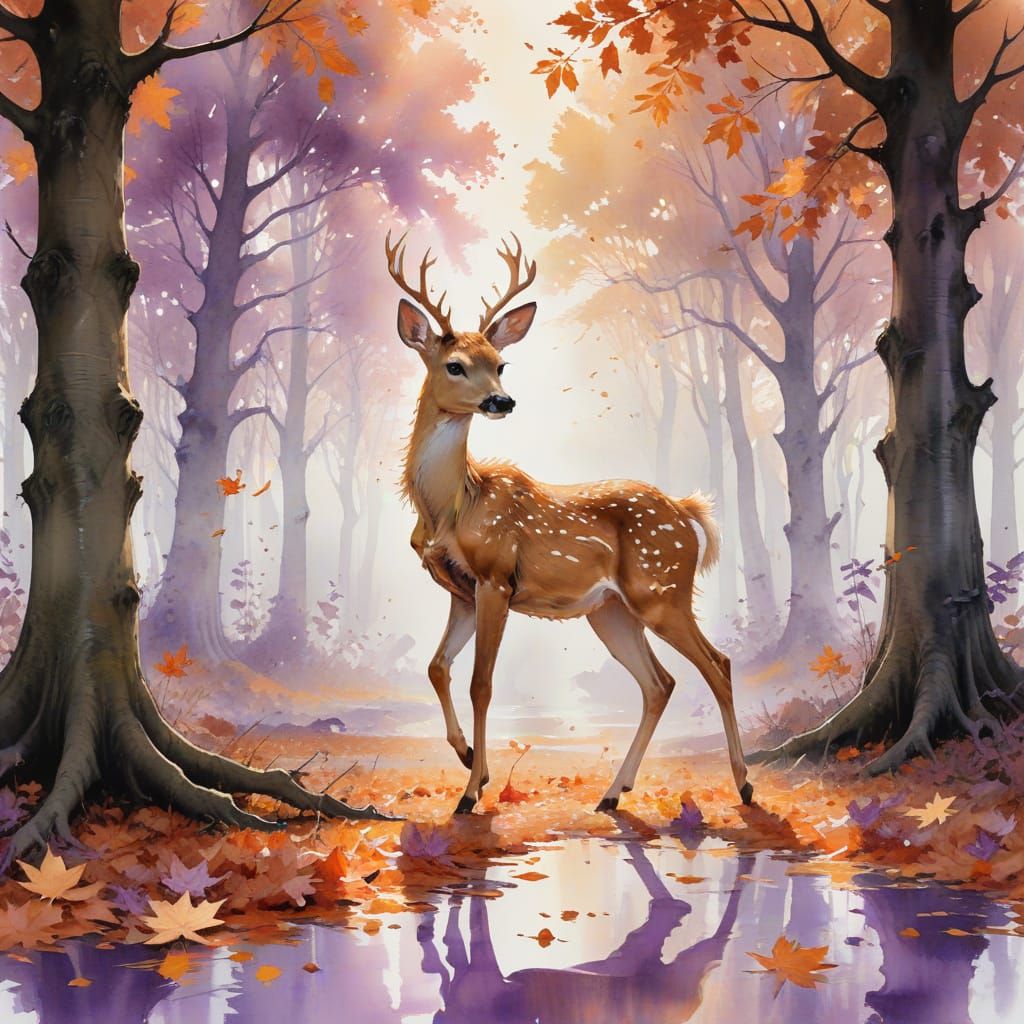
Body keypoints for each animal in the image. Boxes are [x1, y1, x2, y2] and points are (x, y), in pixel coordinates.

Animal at [386, 231, 752, 816]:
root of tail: (686, 512)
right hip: (611, 611)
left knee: (718, 664)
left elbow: (481, 683)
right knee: (661, 683)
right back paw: (612, 794)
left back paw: (743, 784)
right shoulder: (460, 590)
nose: (502, 401)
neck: (453, 506)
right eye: (455, 365)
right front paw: (468, 759)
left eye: (501, 363)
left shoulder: (496, 577)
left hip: (661, 589)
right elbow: (436, 667)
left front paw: (471, 791)